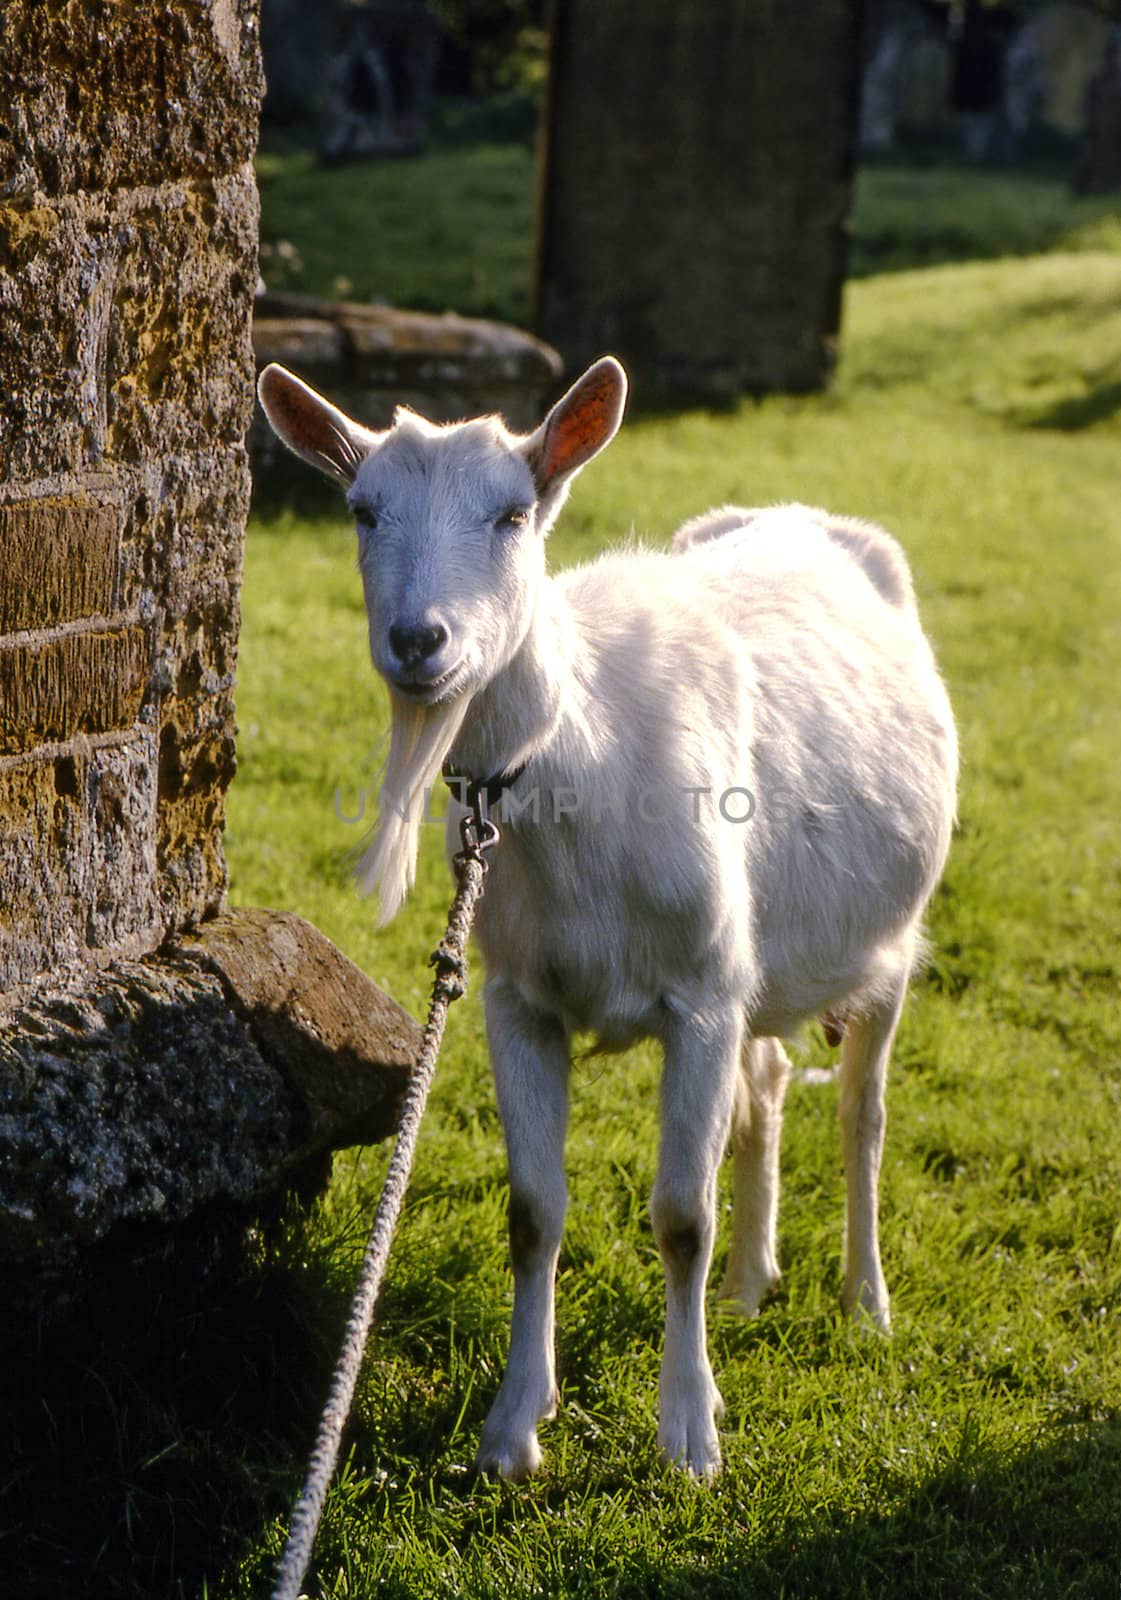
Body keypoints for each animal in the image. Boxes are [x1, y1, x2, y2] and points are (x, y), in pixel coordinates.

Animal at [260, 356, 953, 1478]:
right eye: (363, 509)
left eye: (511, 512)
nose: (418, 640)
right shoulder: (515, 995)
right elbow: (531, 1210)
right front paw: (511, 1430)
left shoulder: (701, 992)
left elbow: (680, 1215)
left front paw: (689, 1438)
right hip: (762, 957)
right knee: (767, 1083)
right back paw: (751, 1285)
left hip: (889, 942)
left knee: (863, 1109)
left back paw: (863, 1302)